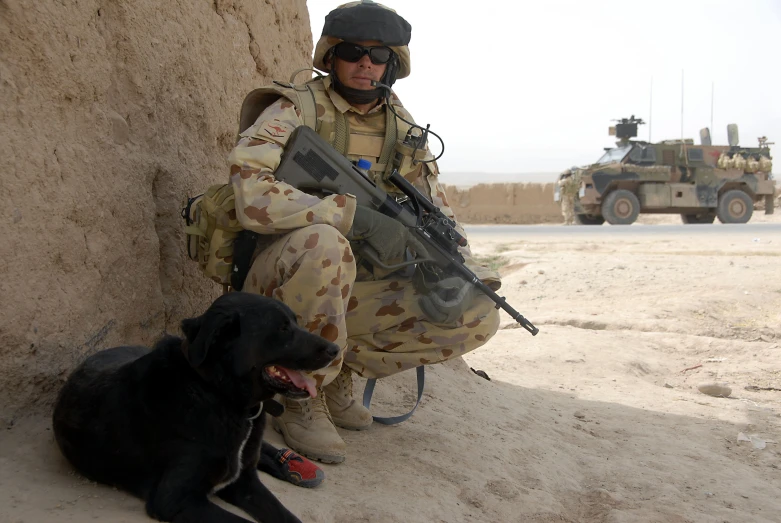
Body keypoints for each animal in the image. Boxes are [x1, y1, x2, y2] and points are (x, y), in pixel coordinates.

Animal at [51, 292, 338, 520]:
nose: (335, 349)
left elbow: (285, 515)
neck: (218, 394)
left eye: (294, 323)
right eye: (282, 328)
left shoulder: (245, 483)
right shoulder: (176, 498)